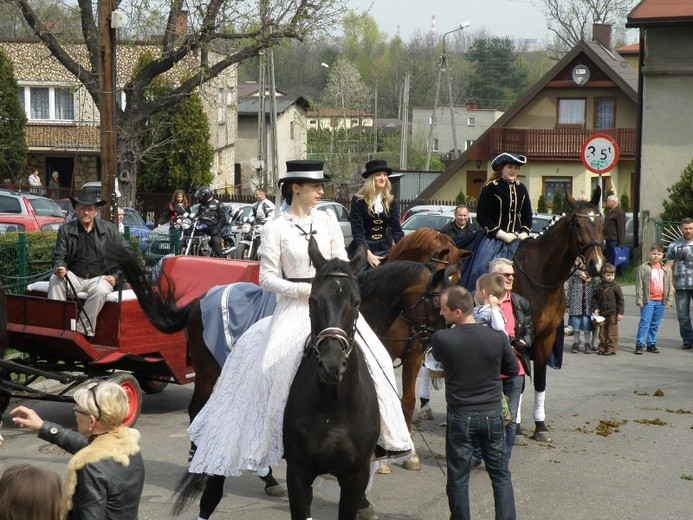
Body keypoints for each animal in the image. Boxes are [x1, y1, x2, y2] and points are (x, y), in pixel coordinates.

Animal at [510, 189, 604, 440]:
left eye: (600, 222)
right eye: (577, 224)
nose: (596, 265)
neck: (540, 276)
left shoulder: (546, 337)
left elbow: (540, 382)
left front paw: (540, 426)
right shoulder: (520, 339)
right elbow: (520, 382)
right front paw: (517, 427)